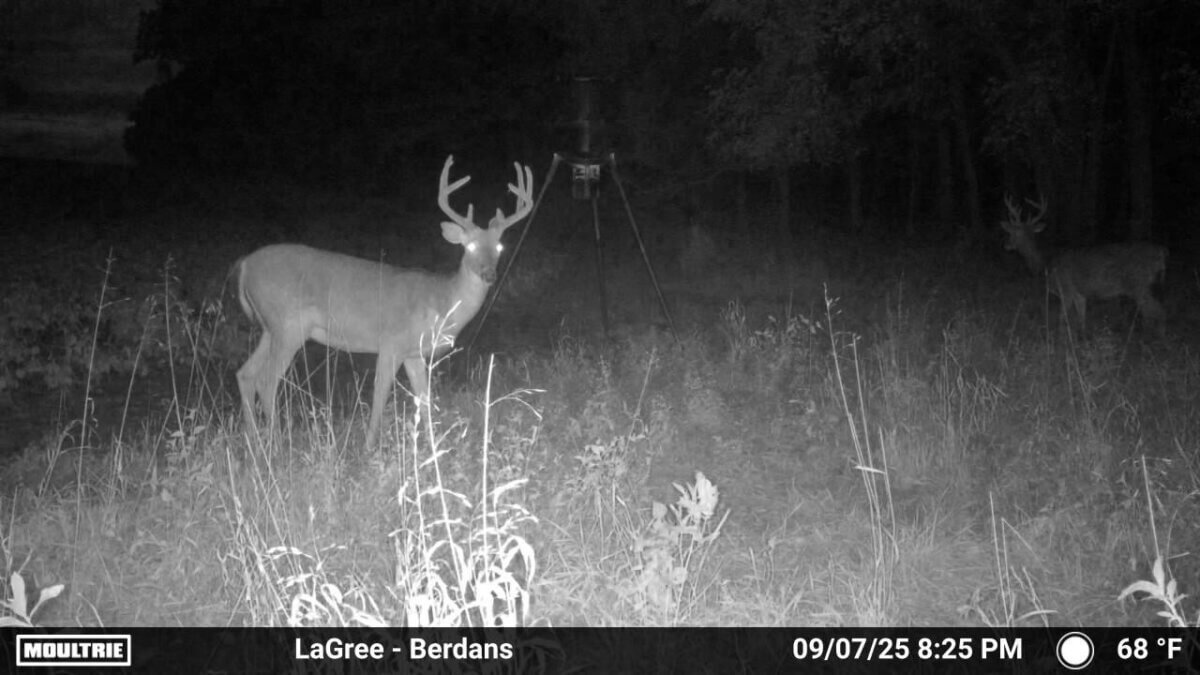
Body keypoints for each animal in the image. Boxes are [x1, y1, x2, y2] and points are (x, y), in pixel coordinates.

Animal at [235, 155, 533, 446]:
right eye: (469, 246)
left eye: (499, 246)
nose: (489, 274)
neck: (441, 302)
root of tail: (245, 265)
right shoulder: (392, 342)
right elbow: (380, 394)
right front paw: (368, 447)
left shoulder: (413, 353)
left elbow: (425, 398)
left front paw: (434, 445)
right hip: (289, 325)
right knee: (266, 380)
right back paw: (276, 442)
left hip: (270, 328)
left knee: (245, 374)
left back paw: (254, 440)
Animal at [999, 194, 1167, 334]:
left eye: (1013, 233)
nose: (1006, 245)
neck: (1046, 264)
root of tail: (1163, 252)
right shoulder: (1079, 293)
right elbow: (1081, 319)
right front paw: (1082, 337)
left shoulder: (1065, 289)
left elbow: (1062, 319)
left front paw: (1060, 339)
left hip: (1138, 284)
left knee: (1156, 311)